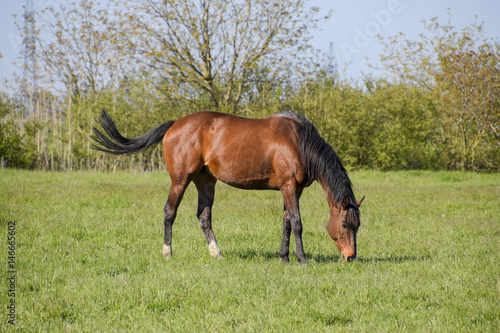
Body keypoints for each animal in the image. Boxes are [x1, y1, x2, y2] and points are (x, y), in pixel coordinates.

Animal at [91, 110, 364, 264]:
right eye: (344, 224)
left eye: (357, 225)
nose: (350, 257)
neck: (299, 142)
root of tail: (175, 124)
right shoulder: (289, 186)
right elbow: (297, 224)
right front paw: (302, 259)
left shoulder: (291, 189)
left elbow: (286, 223)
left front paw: (284, 258)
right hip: (180, 180)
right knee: (170, 212)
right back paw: (167, 253)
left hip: (205, 181)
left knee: (204, 217)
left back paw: (217, 254)